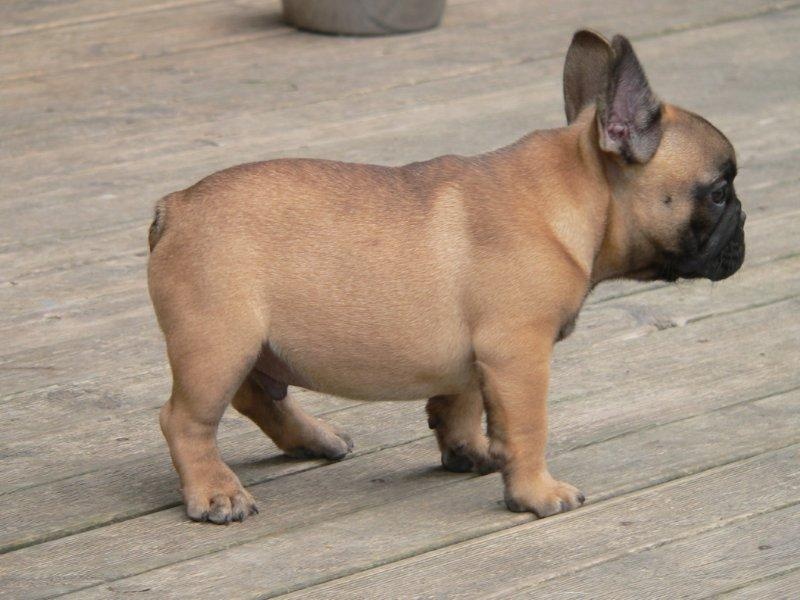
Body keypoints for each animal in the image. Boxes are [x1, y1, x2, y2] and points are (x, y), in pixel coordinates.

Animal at [147, 30, 745, 524]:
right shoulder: (518, 353)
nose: (744, 223)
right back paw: (216, 492)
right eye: (719, 192)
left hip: (250, 345)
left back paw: (313, 438)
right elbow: (528, 427)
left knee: (256, 396)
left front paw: (472, 451)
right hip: (218, 343)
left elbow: (462, 403)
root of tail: (175, 206)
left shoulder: (480, 357)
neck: (577, 195)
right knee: (186, 420)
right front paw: (536, 491)